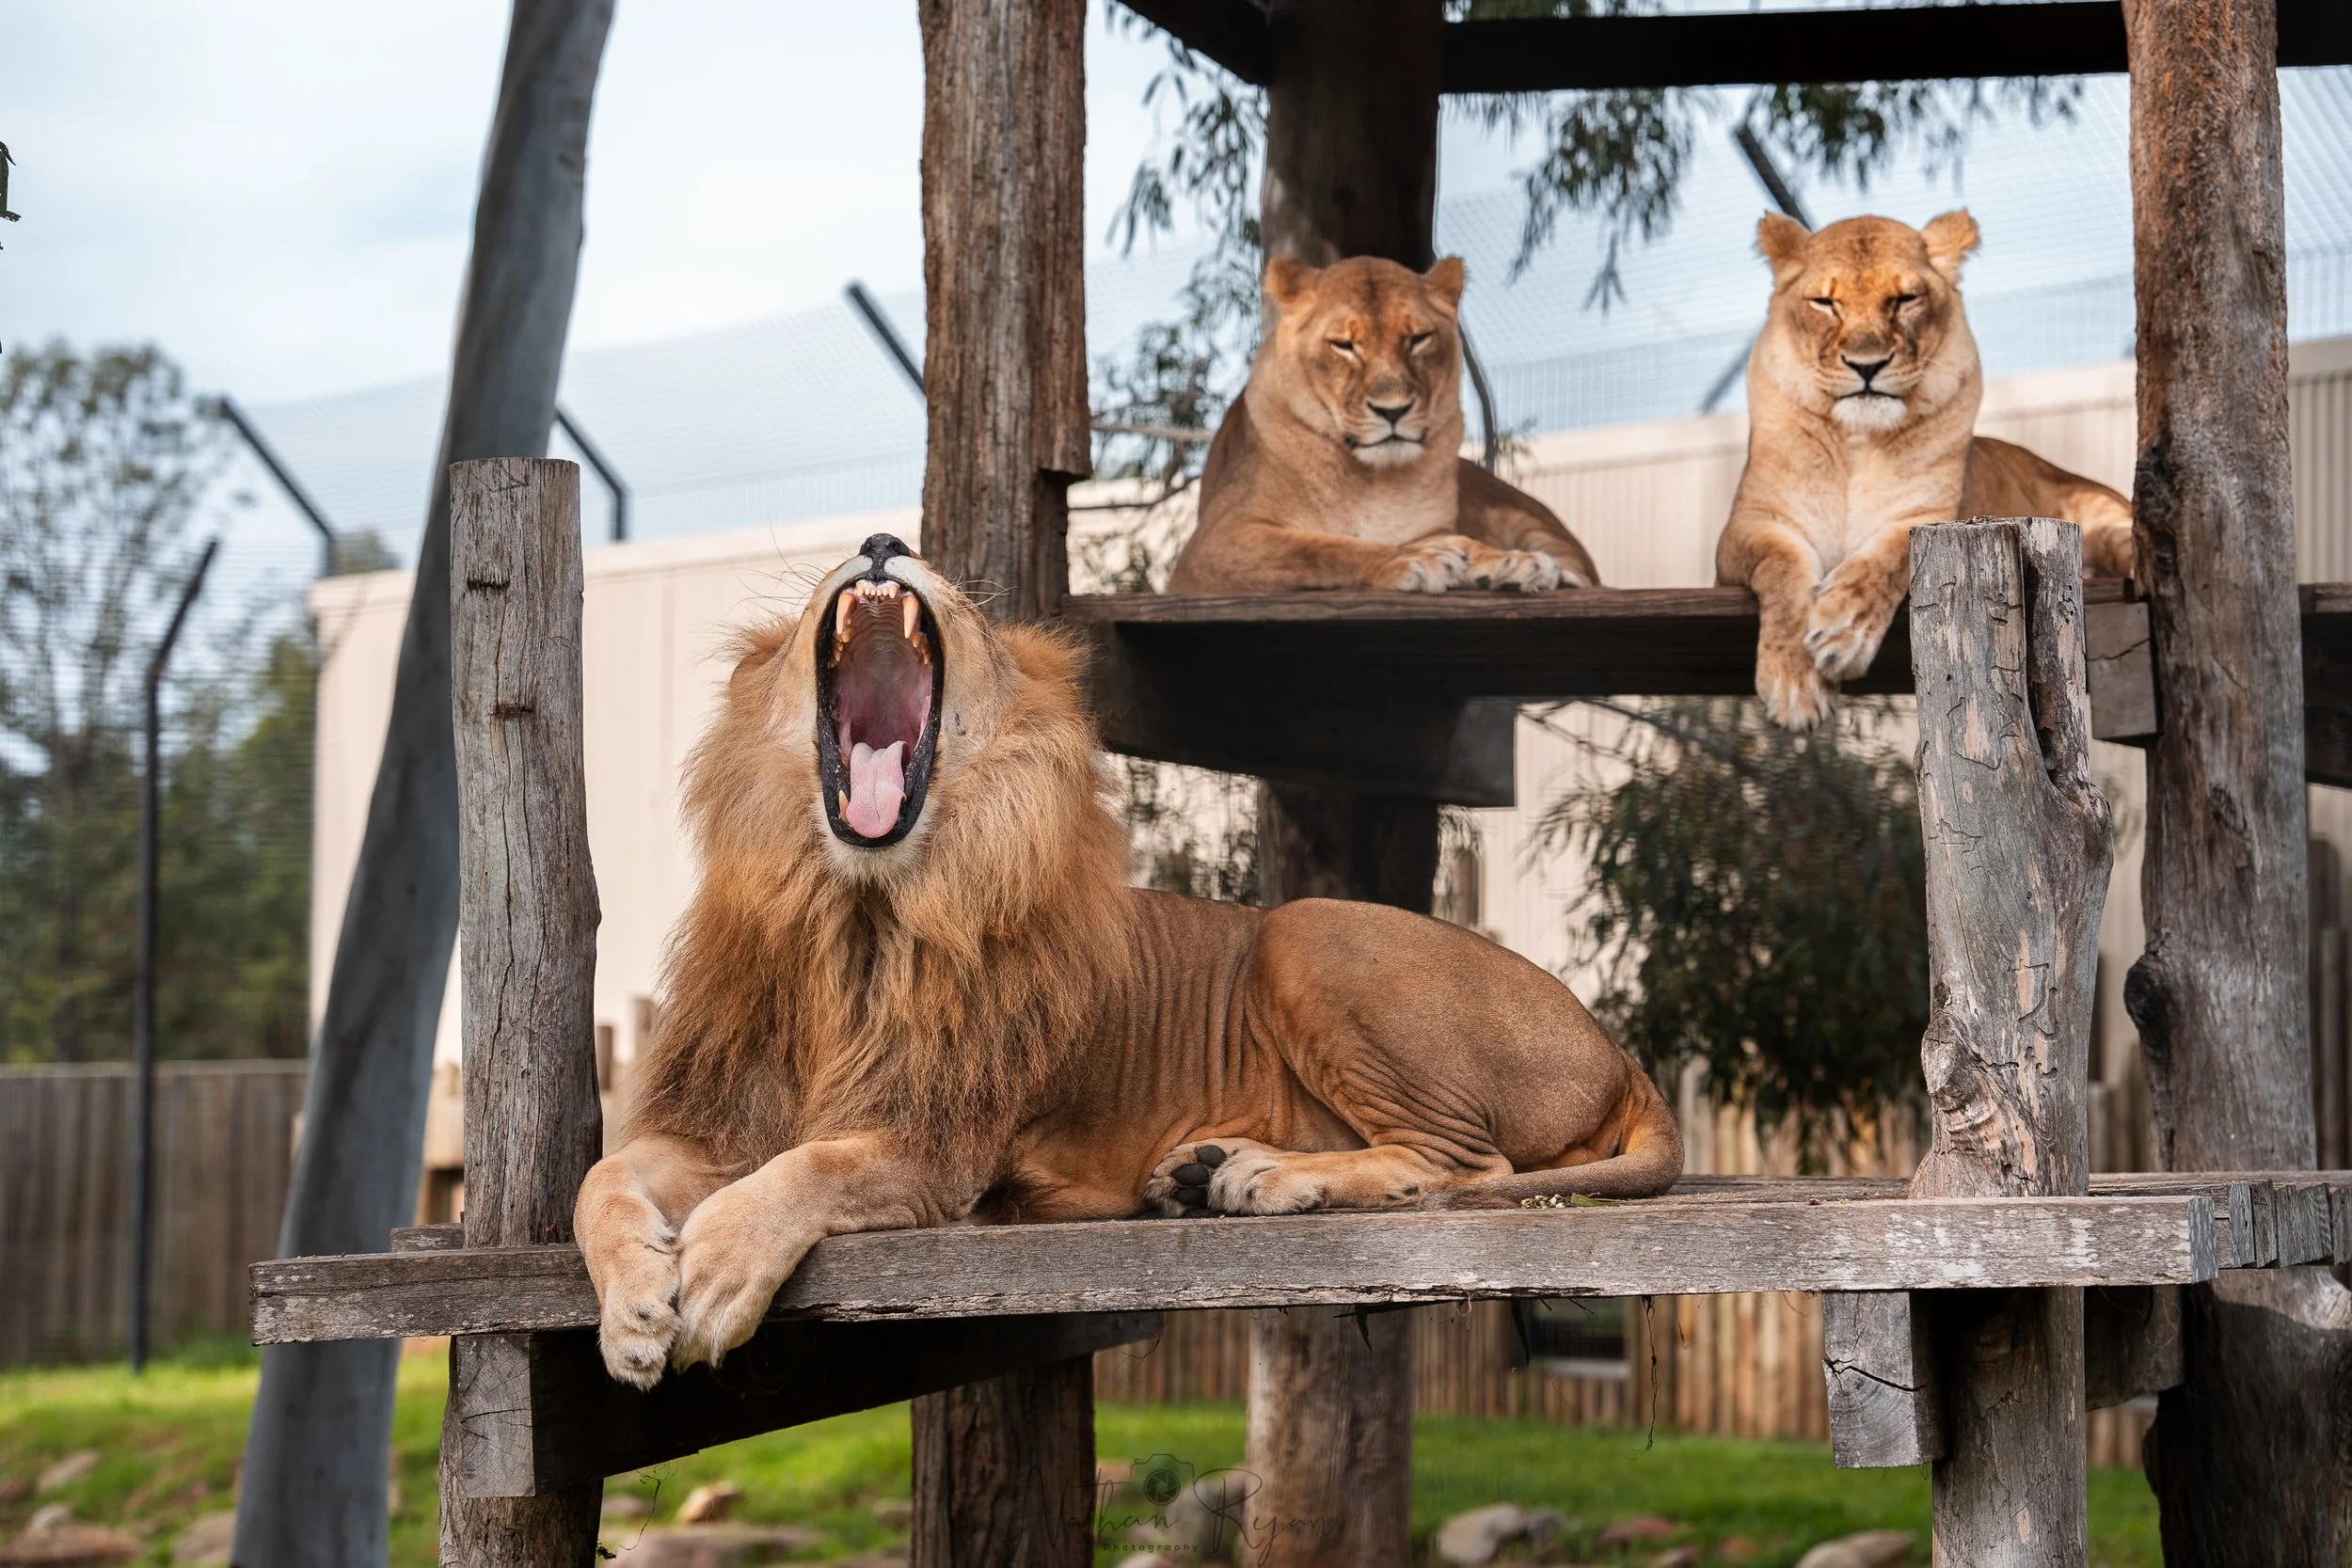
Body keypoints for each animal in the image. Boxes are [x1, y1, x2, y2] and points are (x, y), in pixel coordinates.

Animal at [574, 534, 1680, 1387]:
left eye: (960, 596)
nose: (884, 542)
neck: (858, 911)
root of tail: (1619, 1050)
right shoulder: (723, 1119)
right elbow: (603, 1175)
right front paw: (634, 1312)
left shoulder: (941, 1150)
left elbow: (814, 1164)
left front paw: (718, 1271)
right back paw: (1205, 1170)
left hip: (1304, 930)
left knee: (1462, 1165)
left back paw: (1266, 1179)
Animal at [1167, 254, 1602, 594]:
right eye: (1343, 345)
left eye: (1419, 338)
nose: (1393, 411)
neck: (1372, 480)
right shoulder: (1213, 544)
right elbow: (1320, 548)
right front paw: (1417, 559)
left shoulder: (1435, 526)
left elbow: (1462, 539)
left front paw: (1511, 561)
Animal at [1715, 210, 2136, 728]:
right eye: (1825, 303)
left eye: (1904, 300)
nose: (1867, 365)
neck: (1857, 444)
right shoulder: (1746, 528)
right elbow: (1781, 564)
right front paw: (1796, 683)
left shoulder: (1933, 514)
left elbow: (1886, 558)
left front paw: (1841, 631)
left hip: (2107, 520)